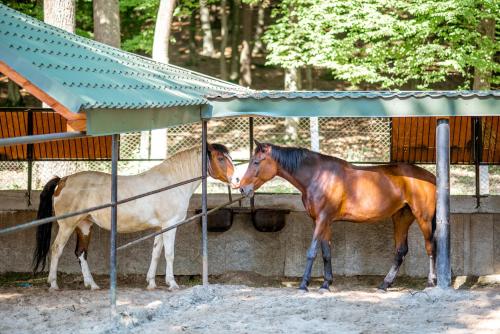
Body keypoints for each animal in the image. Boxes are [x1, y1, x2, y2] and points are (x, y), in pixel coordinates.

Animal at [33, 145, 234, 290]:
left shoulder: (160, 227)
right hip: (66, 226)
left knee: (81, 253)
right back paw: (53, 284)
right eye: (220, 158)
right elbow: (169, 254)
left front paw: (151, 283)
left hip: (84, 225)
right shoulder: (170, 225)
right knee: (56, 249)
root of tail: (63, 180)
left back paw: (92, 285)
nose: (237, 179)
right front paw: (172, 283)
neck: (172, 183)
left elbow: (156, 253)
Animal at [240, 141, 436, 292]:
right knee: (401, 251)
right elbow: (326, 252)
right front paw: (326, 284)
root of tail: (431, 177)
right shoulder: (322, 221)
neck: (318, 176)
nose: (242, 188)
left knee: (430, 247)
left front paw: (304, 285)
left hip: (423, 218)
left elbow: (312, 252)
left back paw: (431, 282)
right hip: (401, 218)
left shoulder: (322, 219)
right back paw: (385, 284)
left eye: (256, 162)